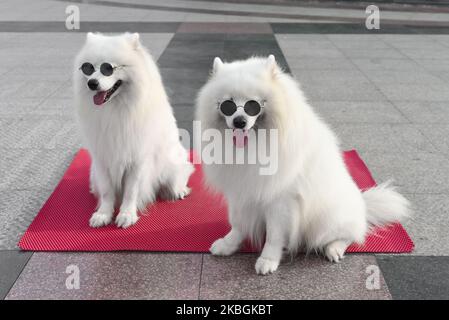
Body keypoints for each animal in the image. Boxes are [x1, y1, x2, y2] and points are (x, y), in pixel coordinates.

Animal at [73, 31, 192, 228]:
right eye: (88, 68)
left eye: (108, 68)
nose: (92, 83)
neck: (115, 110)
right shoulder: (102, 157)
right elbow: (106, 190)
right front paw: (103, 214)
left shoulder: (137, 158)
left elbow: (131, 190)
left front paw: (127, 215)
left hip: (172, 162)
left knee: (181, 175)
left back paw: (178, 190)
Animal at [195, 55, 410, 276]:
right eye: (227, 105)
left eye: (252, 105)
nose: (239, 121)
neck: (254, 145)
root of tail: (363, 205)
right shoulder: (239, 191)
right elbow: (237, 223)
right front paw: (228, 245)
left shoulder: (280, 200)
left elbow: (274, 235)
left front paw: (268, 260)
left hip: (327, 220)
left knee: (351, 235)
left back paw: (334, 249)